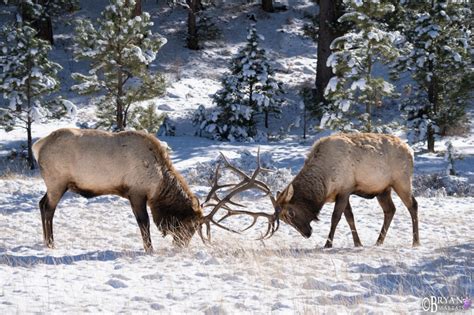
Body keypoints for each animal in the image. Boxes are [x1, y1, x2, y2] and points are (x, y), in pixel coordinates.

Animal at [33, 127, 280, 253]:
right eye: (191, 226)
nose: (181, 247)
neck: (159, 184)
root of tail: (38, 146)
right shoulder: (136, 193)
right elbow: (144, 223)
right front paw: (149, 249)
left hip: (54, 183)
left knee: (41, 203)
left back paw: (47, 241)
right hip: (57, 181)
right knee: (48, 208)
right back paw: (51, 243)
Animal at [276, 133, 420, 249]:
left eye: (291, 213)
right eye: (284, 220)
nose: (307, 234)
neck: (325, 183)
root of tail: (411, 152)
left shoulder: (345, 190)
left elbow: (336, 217)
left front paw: (328, 244)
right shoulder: (342, 193)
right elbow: (349, 217)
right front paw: (358, 243)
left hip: (402, 181)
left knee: (413, 205)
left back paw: (416, 242)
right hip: (383, 189)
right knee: (390, 209)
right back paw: (379, 241)